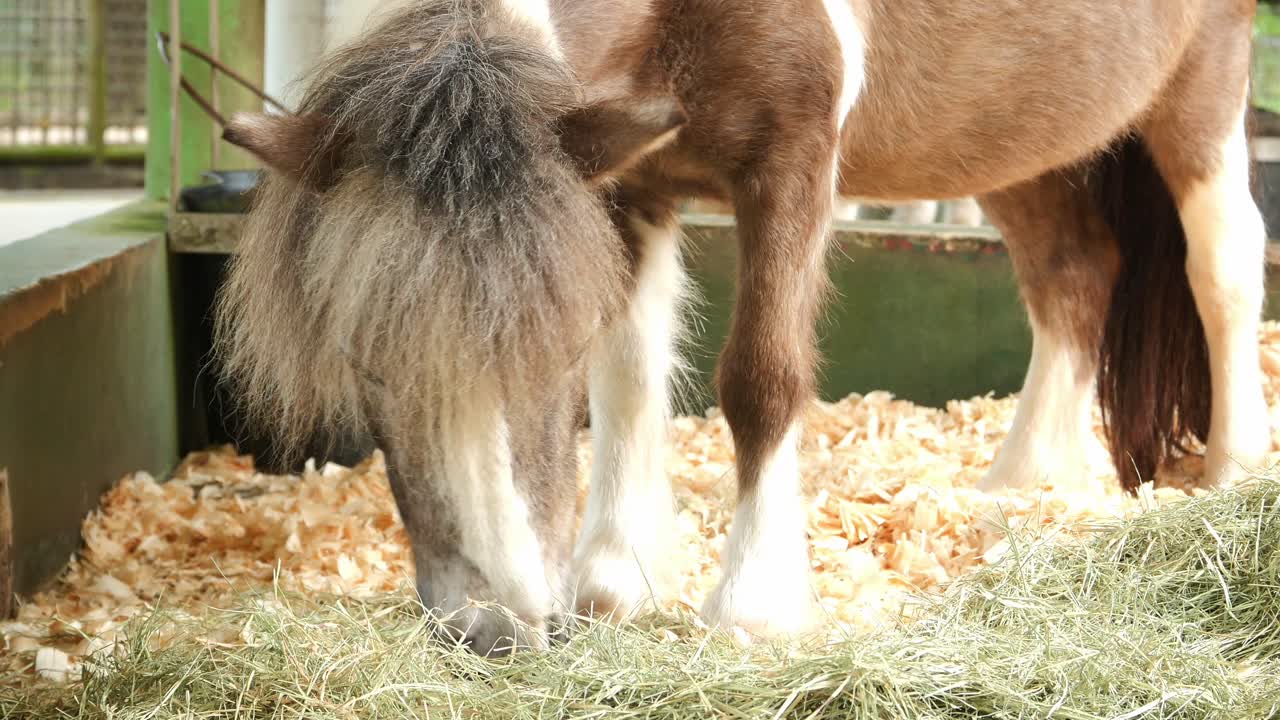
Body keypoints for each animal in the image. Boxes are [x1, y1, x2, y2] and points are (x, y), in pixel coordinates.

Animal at [215, 0, 1270, 655]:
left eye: (552, 349)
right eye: (367, 362)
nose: (489, 629)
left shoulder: (791, 161)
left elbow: (760, 378)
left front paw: (752, 607)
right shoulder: (630, 178)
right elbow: (632, 381)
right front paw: (616, 582)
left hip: (1202, 83)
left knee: (1224, 259)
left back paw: (1236, 470)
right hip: (1019, 129)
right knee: (1074, 273)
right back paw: (1024, 482)